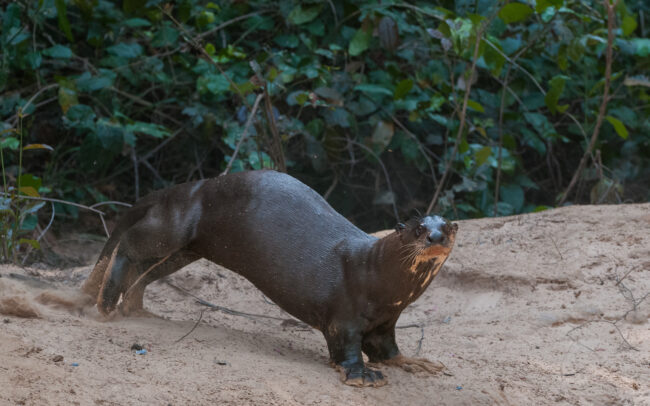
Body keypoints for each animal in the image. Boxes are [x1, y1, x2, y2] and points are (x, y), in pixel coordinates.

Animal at [82, 170, 457, 387]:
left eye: (449, 227)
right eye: (418, 229)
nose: (436, 237)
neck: (378, 278)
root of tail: (190, 186)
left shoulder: (385, 322)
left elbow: (387, 349)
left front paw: (416, 362)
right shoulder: (345, 315)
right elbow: (347, 346)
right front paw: (360, 373)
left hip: (186, 250)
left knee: (146, 271)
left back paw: (135, 308)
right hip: (176, 227)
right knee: (130, 245)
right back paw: (106, 302)